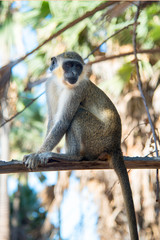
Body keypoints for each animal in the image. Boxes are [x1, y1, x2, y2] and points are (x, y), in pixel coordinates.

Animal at [23, 51, 139, 240]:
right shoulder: (49, 85)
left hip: (98, 137)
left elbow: (62, 122)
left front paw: (37, 155)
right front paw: (39, 152)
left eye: (78, 67)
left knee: (77, 114)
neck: (61, 83)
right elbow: (53, 121)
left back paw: (72, 156)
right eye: (69, 65)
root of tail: (116, 145)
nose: (74, 74)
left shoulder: (77, 90)